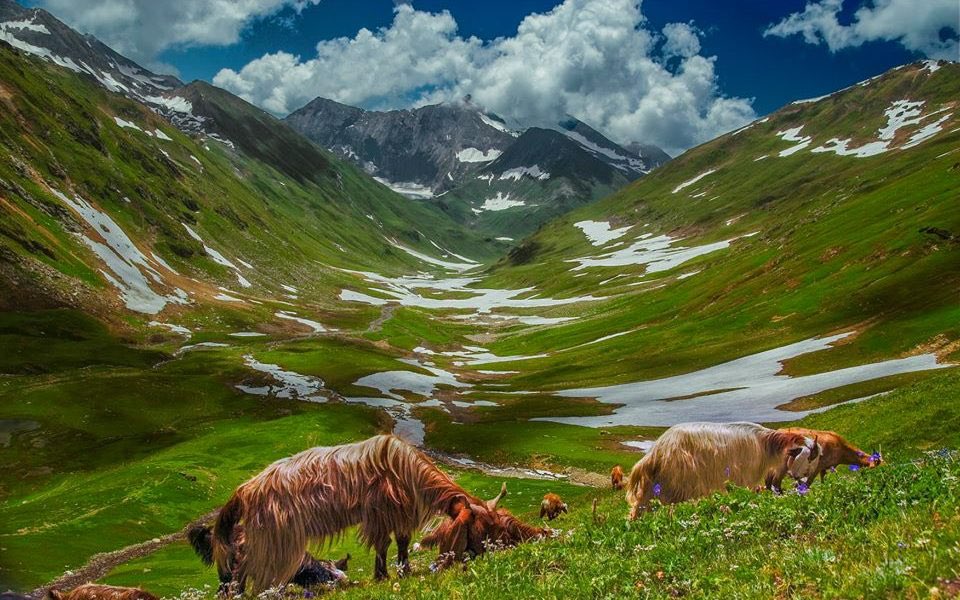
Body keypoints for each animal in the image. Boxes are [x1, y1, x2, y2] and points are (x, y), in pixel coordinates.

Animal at [217, 434, 544, 592]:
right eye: (485, 527)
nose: (495, 553)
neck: (406, 471)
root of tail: (246, 489)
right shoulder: (380, 514)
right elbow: (383, 545)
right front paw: (383, 575)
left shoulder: (399, 517)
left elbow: (401, 543)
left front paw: (403, 571)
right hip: (275, 536)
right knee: (250, 563)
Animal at [628, 422, 820, 520]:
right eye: (807, 458)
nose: (803, 482)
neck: (765, 444)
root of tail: (655, 452)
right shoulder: (744, 477)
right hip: (675, 485)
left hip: (656, 485)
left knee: (640, 506)